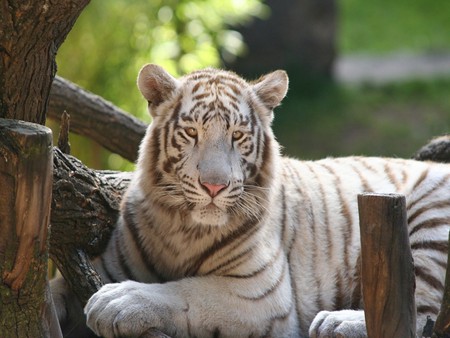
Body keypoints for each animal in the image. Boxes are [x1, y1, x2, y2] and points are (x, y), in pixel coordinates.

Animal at [52, 64, 450, 338]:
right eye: (192, 132)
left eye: (238, 136)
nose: (214, 186)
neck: (183, 228)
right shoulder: (107, 266)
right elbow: (55, 294)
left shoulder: (259, 293)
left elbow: (186, 289)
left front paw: (116, 302)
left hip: (431, 227)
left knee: (418, 314)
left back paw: (335, 322)